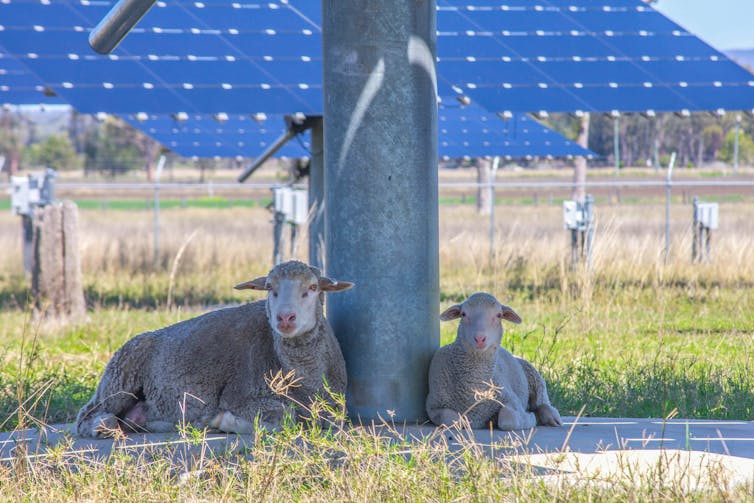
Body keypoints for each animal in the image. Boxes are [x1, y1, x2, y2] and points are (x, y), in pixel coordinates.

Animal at [76, 260, 353, 438]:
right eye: (270, 288)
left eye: (313, 288)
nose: (285, 318)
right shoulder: (239, 396)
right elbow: (284, 416)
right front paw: (226, 421)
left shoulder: (333, 408)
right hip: (119, 380)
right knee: (86, 415)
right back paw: (103, 426)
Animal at [426, 293, 561, 430]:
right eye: (463, 314)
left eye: (499, 315)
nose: (480, 338)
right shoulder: (433, 405)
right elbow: (451, 420)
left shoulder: (512, 400)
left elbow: (508, 419)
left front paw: (530, 418)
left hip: (536, 381)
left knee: (544, 403)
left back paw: (549, 417)